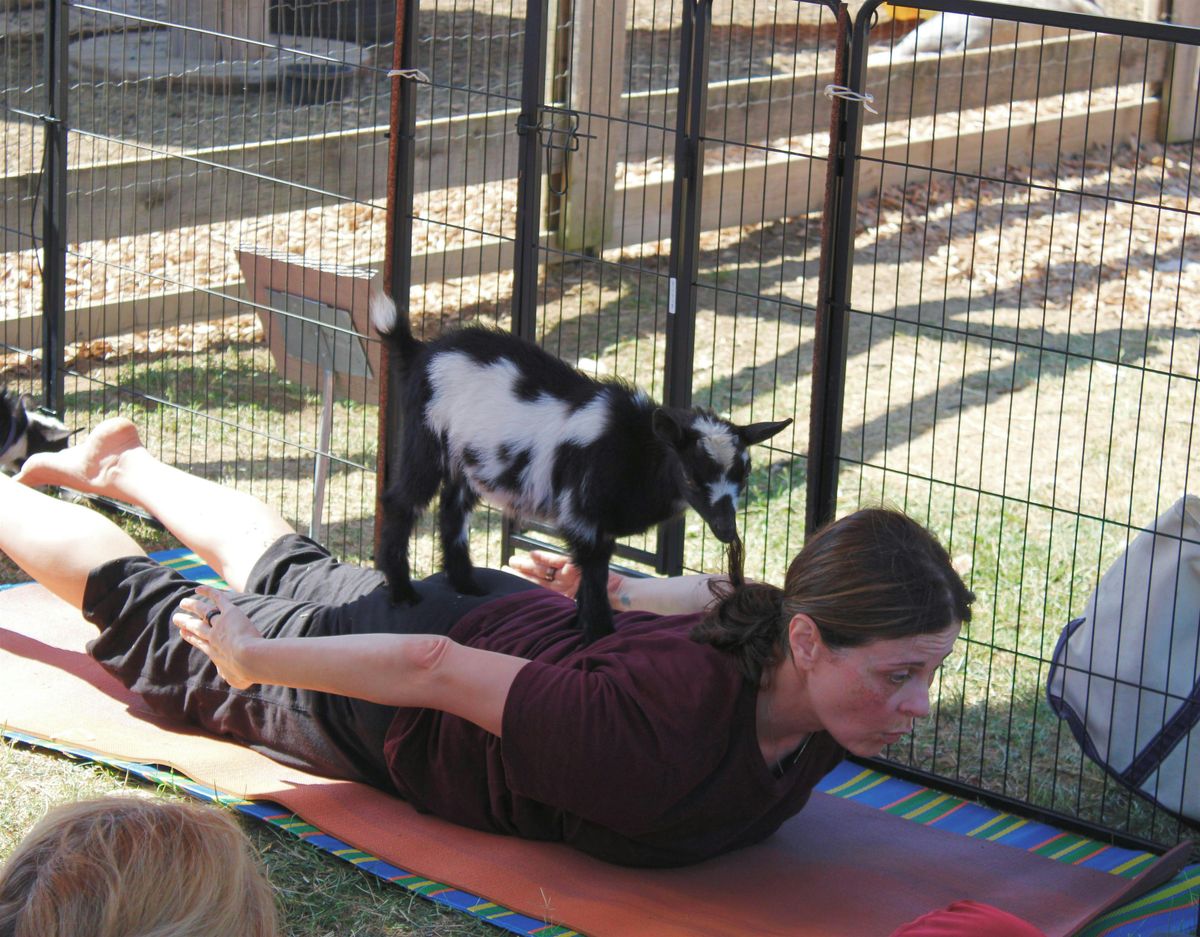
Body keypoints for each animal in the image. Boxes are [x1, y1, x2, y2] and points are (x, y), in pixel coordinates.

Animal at [369, 289, 792, 643]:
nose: (726, 531)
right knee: (401, 502)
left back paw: (466, 585)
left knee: (452, 510)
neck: (636, 446)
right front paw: (597, 633)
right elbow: (594, 574)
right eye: (690, 473)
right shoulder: (584, 517)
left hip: (468, 461)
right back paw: (403, 592)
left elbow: (592, 576)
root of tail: (422, 351)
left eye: (744, 474)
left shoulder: (601, 523)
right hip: (426, 439)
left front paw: (578, 623)